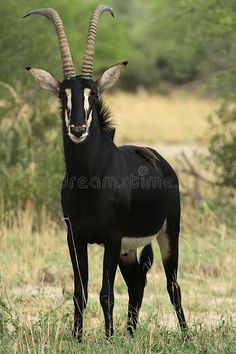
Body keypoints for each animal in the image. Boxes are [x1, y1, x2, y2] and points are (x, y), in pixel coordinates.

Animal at [23, 5, 187, 342]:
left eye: (93, 94)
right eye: (63, 95)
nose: (77, 129)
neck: (89, 180)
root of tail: (162, 162)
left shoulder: (111, 238)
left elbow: (106, 293)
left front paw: (109, 338)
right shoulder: (75, 238)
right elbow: (80, 292)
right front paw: (77, 338)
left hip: (168, 233)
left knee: (172, 285)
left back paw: (184, 334)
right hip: (128, 249)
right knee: (137, 281)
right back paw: (131, 333)